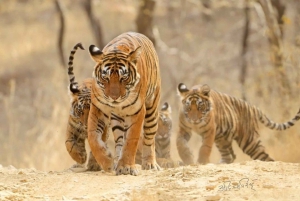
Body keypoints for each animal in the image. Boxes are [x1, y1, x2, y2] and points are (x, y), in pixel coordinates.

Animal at [86, 32, 162, 175]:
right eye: (105, 77)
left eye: (124, 77)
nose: (114, 97)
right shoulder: (98, 108)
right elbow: (93, 137)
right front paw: (108, 162)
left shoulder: (138, 111)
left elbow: (131, 140)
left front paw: (126, 166)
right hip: (117, 120)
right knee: (119, 141)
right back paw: (116, 161)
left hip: (152, 110)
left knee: (149, 138)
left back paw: (150, 163)